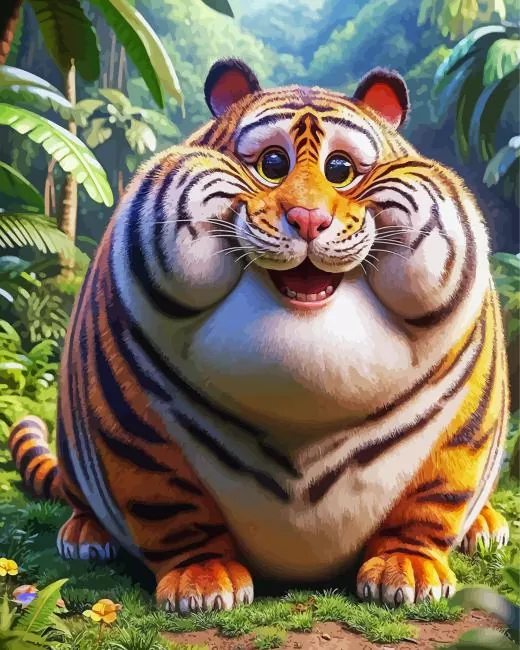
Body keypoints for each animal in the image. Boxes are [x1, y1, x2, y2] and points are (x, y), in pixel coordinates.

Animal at [9, 58, 510, 613]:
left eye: (341, 169)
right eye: (273, 163)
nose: (309, 218)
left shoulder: (464, 426)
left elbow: (434, 497)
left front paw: (410, 570)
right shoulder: (134, 427)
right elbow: (170, 506)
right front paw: (202, 580)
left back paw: (485, 528)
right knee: (81, 496)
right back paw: (85, 536)